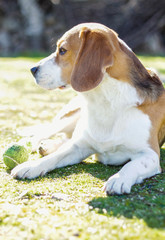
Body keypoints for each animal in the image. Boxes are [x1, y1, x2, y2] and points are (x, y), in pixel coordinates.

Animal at [10, 22, 164, 195]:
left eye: (62, 50)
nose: (32, 69)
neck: (107, 100)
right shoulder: (79, 147)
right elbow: (55, 157)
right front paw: (31, 166)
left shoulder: (150, 154)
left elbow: (132, 165)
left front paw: (119, 179)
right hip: (69, 117)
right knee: (46, 134)